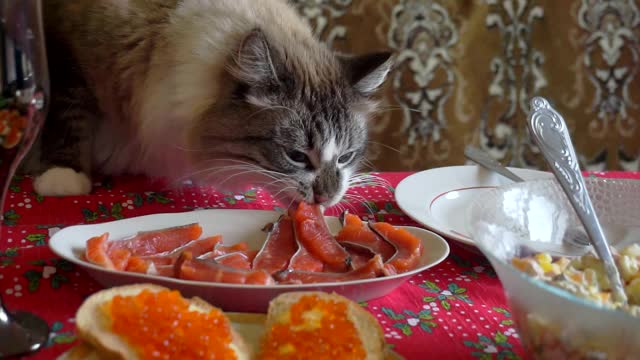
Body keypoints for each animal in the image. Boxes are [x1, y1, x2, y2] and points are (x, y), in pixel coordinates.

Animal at [25, 0, 392, 207]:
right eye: (297, 156)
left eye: (345, 157)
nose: (327, 198)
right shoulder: (66, 54)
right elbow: (68, 112)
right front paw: (63, 178)